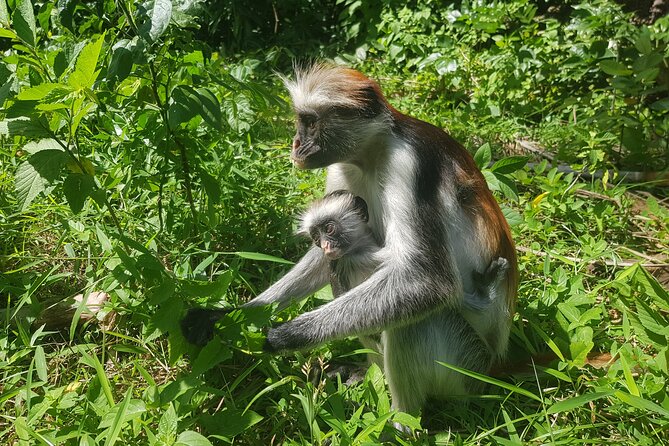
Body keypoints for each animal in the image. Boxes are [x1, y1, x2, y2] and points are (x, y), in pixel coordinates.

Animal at [182, 64, 518, 418]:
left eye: (310, 122)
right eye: (300, 121)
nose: (296, 143)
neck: (374, 152)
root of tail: (496, 365)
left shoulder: (410, 164)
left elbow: (429, 281)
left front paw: (282, 337)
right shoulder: (342, 171)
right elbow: (329, 255)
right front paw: (232, 316)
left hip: (467, 368)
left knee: (414, 319)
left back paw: (399, 422)